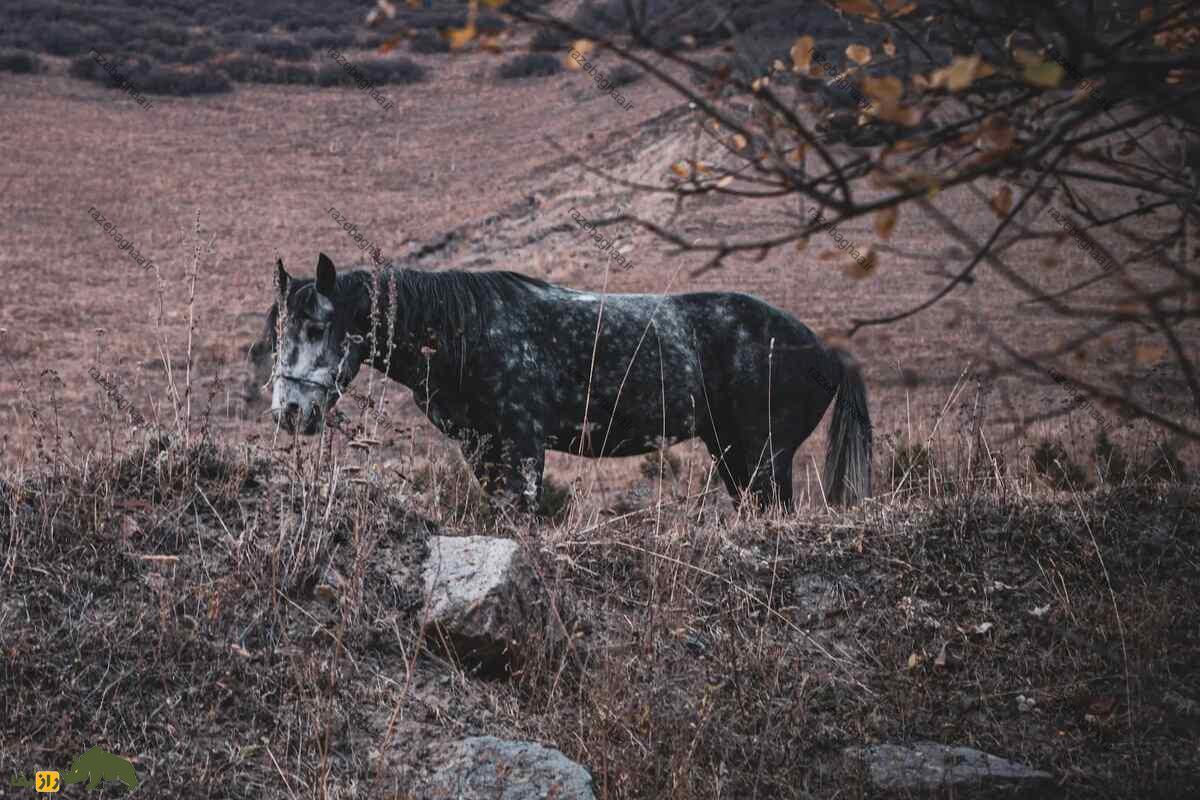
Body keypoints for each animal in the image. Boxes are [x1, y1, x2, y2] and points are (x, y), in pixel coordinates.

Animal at [253, 253, 873, 510]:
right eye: (277, 333)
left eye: (317, 326)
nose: (289, 412)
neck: (468, 331)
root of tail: (827, 353)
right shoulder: (484, 450)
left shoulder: (524, 446)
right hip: (733, 454)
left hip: (765, 456)